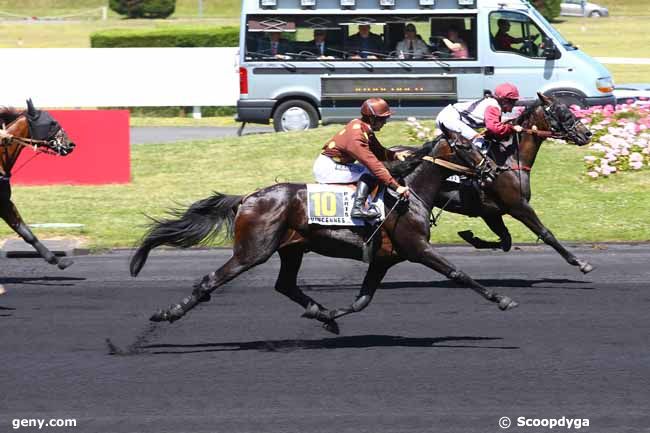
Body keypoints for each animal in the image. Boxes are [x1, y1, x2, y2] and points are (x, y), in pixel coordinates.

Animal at [130, 137, 516, 332]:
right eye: (468, 147)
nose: (492, 169)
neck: (409, 192)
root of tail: (248, 198)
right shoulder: (416, 248)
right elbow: (458, 273)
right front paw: (502, 299)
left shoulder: (383, 260)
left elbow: (362, 300)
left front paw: (329, 316)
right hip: (252, 251)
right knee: (211, 280)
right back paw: (168, 313)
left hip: (291, 249)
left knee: (285, 285)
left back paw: (318, 311)